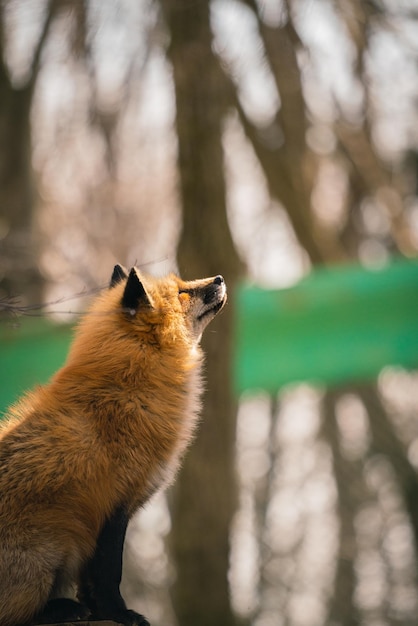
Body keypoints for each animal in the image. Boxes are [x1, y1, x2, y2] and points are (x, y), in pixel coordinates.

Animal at [0, 264, 225, 624]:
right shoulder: (113, 502)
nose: (219, 279)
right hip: (43, 563)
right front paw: (119, 613)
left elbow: (92, 582)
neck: (128, 392)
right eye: (181, 293)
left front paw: (100, 611)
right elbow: (109, 573)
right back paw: (60, 609)